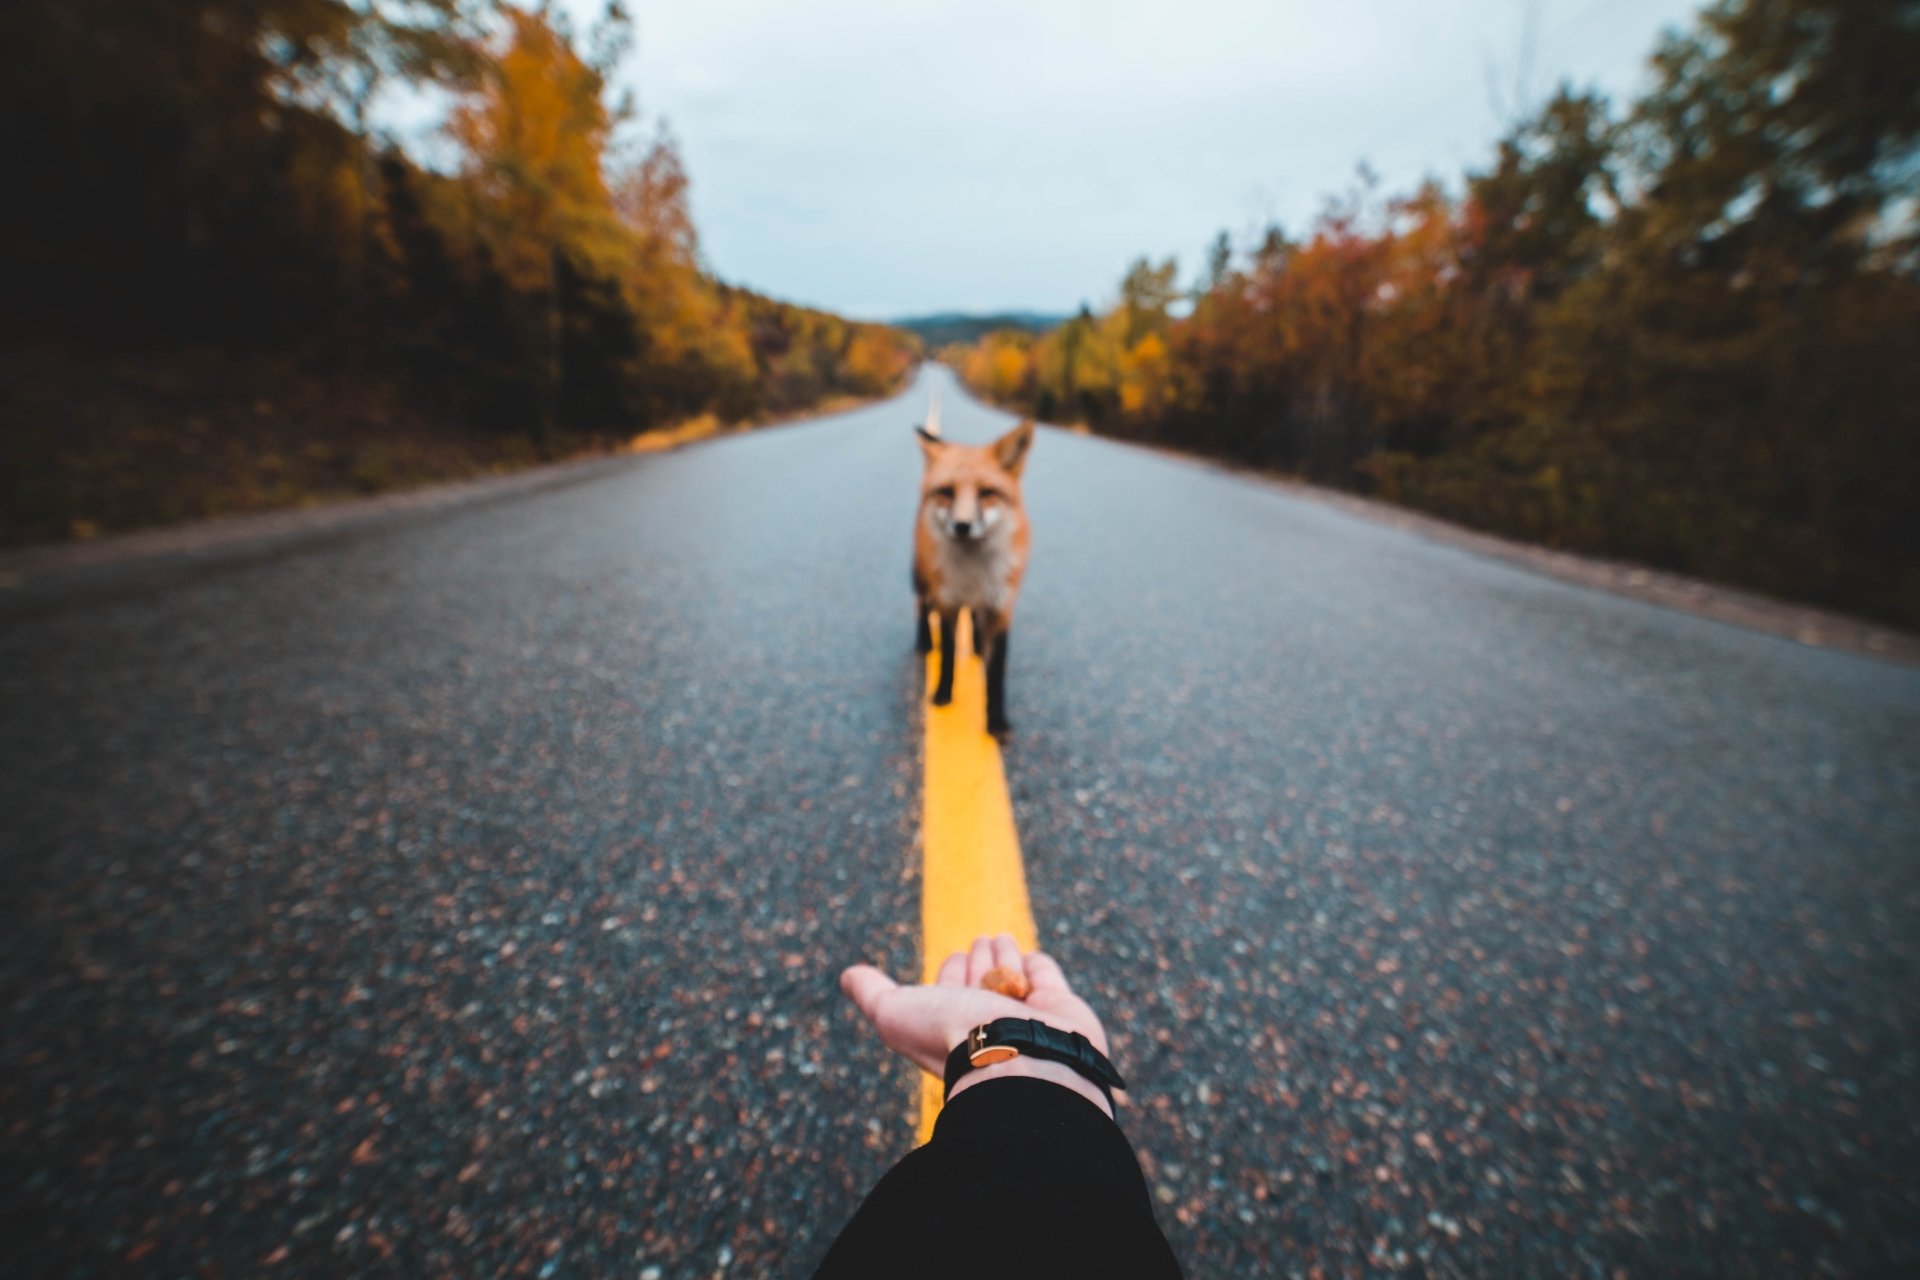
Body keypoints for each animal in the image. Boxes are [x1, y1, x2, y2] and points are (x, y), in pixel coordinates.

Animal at [912, 411, 1035, 737]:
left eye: (987, 493)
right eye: (946, 491)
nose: (962, 525)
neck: (972, 577)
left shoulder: (1001, 607)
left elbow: (996, 674)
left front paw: (997, 720)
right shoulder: (947, 603)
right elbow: (948, 656)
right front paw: (943, 695)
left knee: (976, 622)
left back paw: (979, 646)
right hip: (921, 578)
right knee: (921, 606)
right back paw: (924, 641)